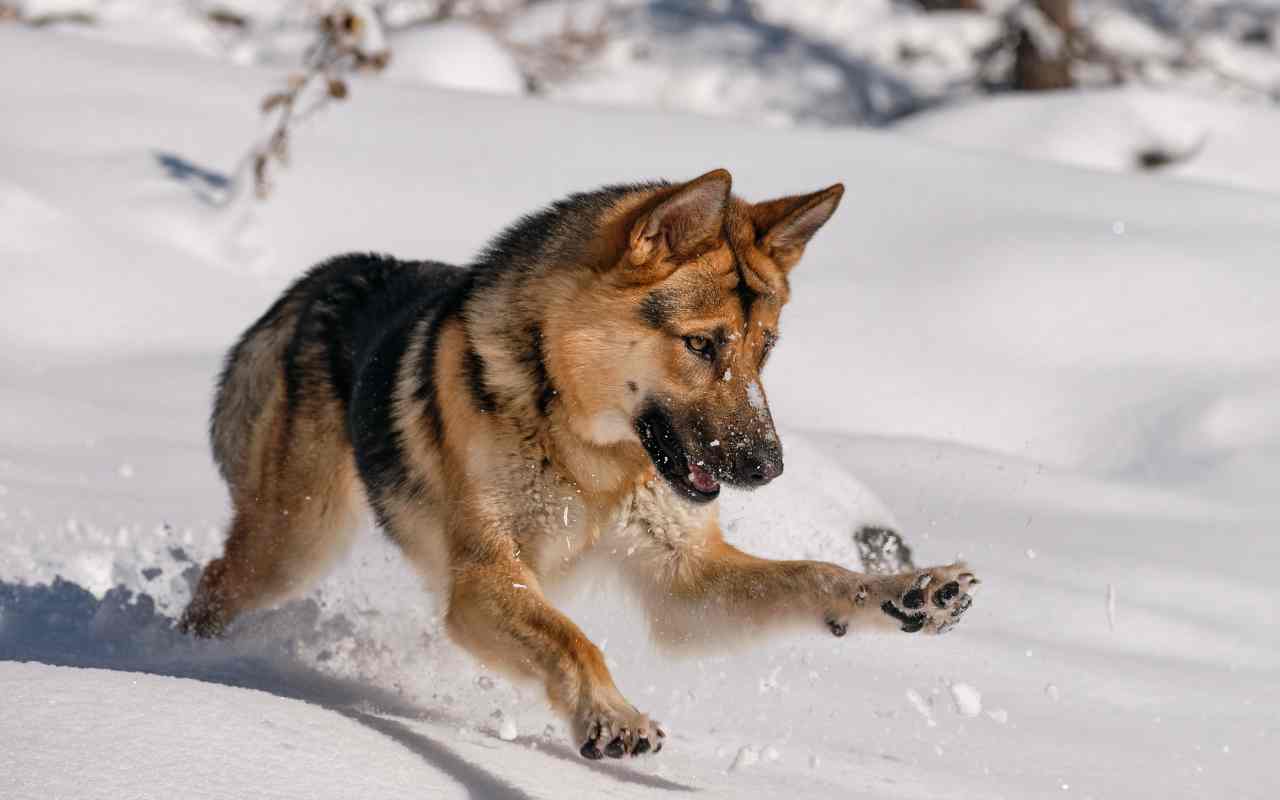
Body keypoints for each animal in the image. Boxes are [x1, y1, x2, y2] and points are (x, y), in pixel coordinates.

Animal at [180, 166, 977, 752]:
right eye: (701, 344)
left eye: (766, 348)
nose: (768, 468)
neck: (585, 448)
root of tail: (332, 274)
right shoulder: (483, 578)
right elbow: (572, 638)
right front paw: (610, 715)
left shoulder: (683, 581)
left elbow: (816, 575)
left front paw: (913, 591)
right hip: (297, 544)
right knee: (214, 585)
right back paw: (187, 664)